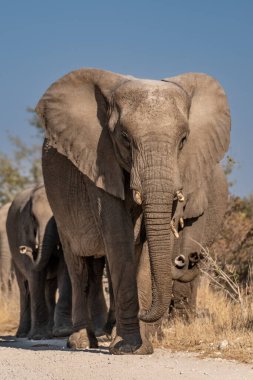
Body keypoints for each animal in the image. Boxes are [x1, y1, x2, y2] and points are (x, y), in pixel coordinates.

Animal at [6, 184, 73, 338]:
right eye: (33, 218)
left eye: (58, 218)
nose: (23, 249)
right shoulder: (24, 230)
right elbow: (34, 275)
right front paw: (38, 336)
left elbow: (65, 268)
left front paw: (63, 332)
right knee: (24, 288)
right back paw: (23, 334)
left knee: (49, 288)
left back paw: (49, 332)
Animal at [36, 67, 231, 354]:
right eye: (125, 139)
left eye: (183, 140)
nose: (184, 259)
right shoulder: (100, 161)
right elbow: (118, 238)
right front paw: (127, 346)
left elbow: (149, 246)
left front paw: (142, 346)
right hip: (59, 206)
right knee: (79, 267)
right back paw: (81, 341)